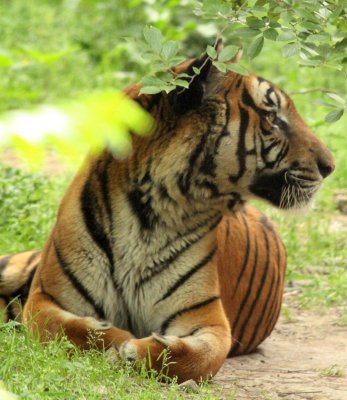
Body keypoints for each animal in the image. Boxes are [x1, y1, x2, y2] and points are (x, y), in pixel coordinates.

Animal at [0, 42, 338, 382]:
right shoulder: (45, 297)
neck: (147, 211)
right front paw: (117, 340)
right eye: (272, 117)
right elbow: (65, 327)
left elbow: (197, 357)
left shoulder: (209, 319)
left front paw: (132, 351)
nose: (331, 166)